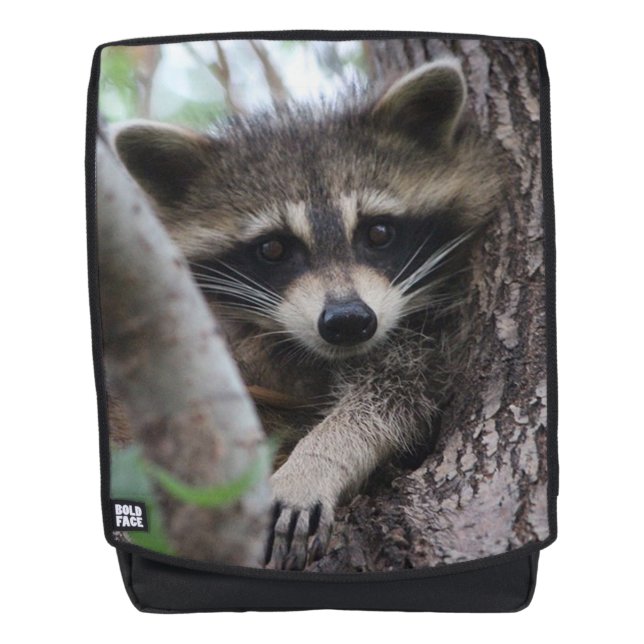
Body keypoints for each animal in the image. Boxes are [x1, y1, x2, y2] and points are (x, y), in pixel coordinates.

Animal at [113, 59, 499, 570]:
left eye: (378, 233)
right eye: (273, 248)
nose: (348, 320)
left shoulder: (432, 338)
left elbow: (395, 395)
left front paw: (317, 460)